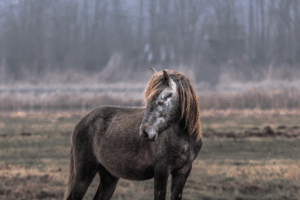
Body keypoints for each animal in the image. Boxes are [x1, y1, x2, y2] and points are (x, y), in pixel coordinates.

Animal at [64, 69, 203, 200]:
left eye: (161, 100)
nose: (145, 132)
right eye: (148, 99)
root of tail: (83, 122)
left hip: (109, 177)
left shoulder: (182, 172)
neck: (184, 139)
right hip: (84, 175)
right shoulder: (161, 172)